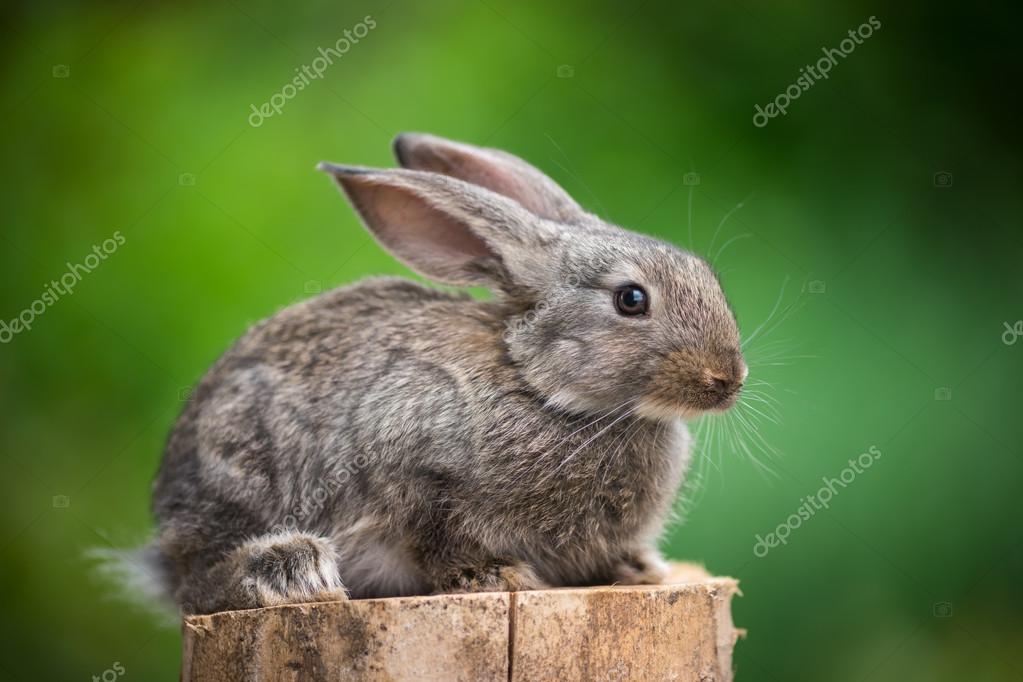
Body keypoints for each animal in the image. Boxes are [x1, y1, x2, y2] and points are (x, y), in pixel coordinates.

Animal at [137, 133, 747, 615]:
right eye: (631, 299)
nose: (727, 380)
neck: (540, 387)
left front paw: (640, 569)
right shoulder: (409, 472)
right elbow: (438, 539)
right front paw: (497, 578)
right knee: (197, 585)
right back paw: (287, 571)